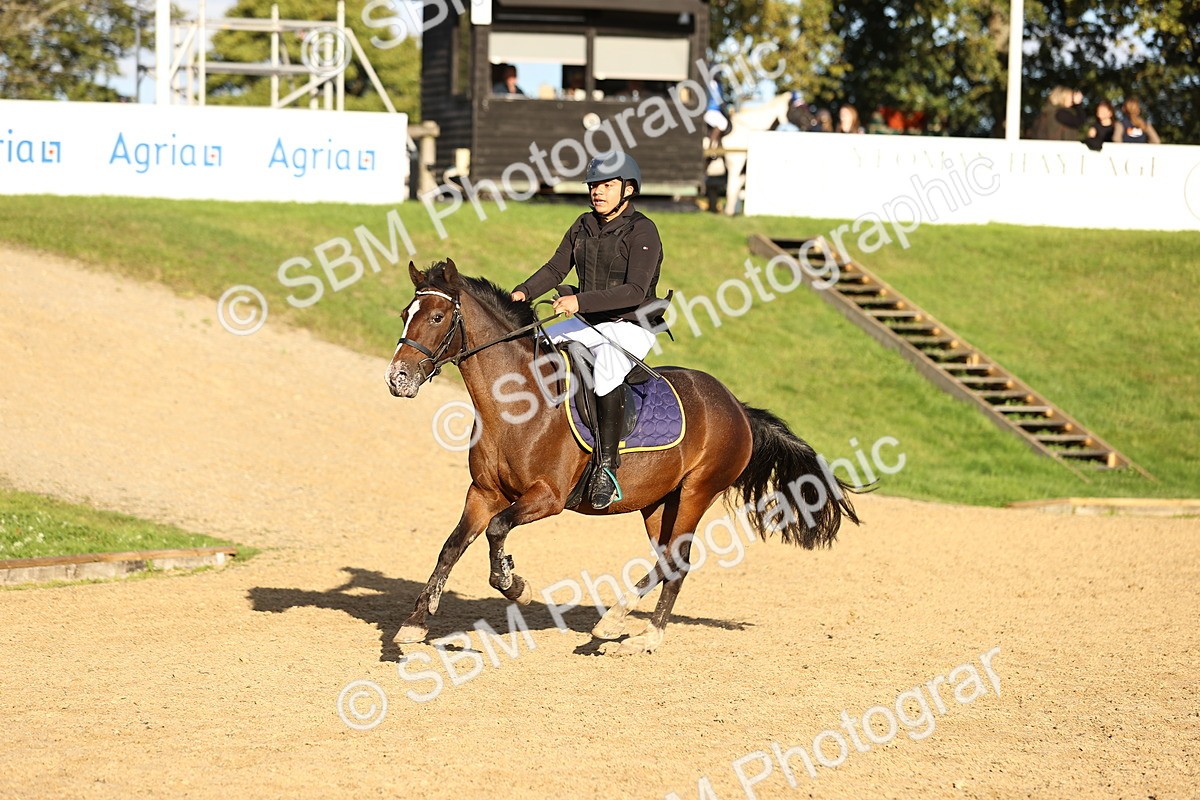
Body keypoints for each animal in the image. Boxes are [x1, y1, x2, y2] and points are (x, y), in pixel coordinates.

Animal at [386, 259, 861, 655]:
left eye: (437, 317)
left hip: (696, 492)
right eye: (405, 313)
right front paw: (415, 624)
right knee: (669, 561)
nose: (397, 379)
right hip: (657, 503)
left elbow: (497, 532)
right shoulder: (483, 492)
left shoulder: (547, 498)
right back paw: (626, 626)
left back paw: (630, 631)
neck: (515, 402)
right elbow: (452, 547)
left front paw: (514, 583)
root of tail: (737, 407)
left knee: (677, 560)